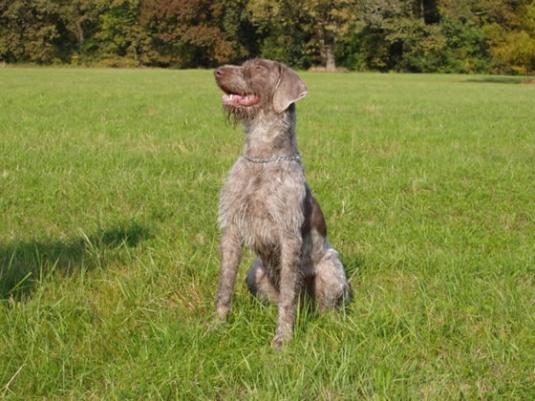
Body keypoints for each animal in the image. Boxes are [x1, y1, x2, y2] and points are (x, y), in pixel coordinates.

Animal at [214, 57, 352, 346]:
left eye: (257, 68)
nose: (216, 71)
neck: (262, 158)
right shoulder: (231, 228)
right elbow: (224, 286)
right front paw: (216, 326)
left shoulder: (289, 237)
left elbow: (289, 297)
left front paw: (283, 340)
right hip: (254, 271)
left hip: (331, 268)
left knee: (327, 308)